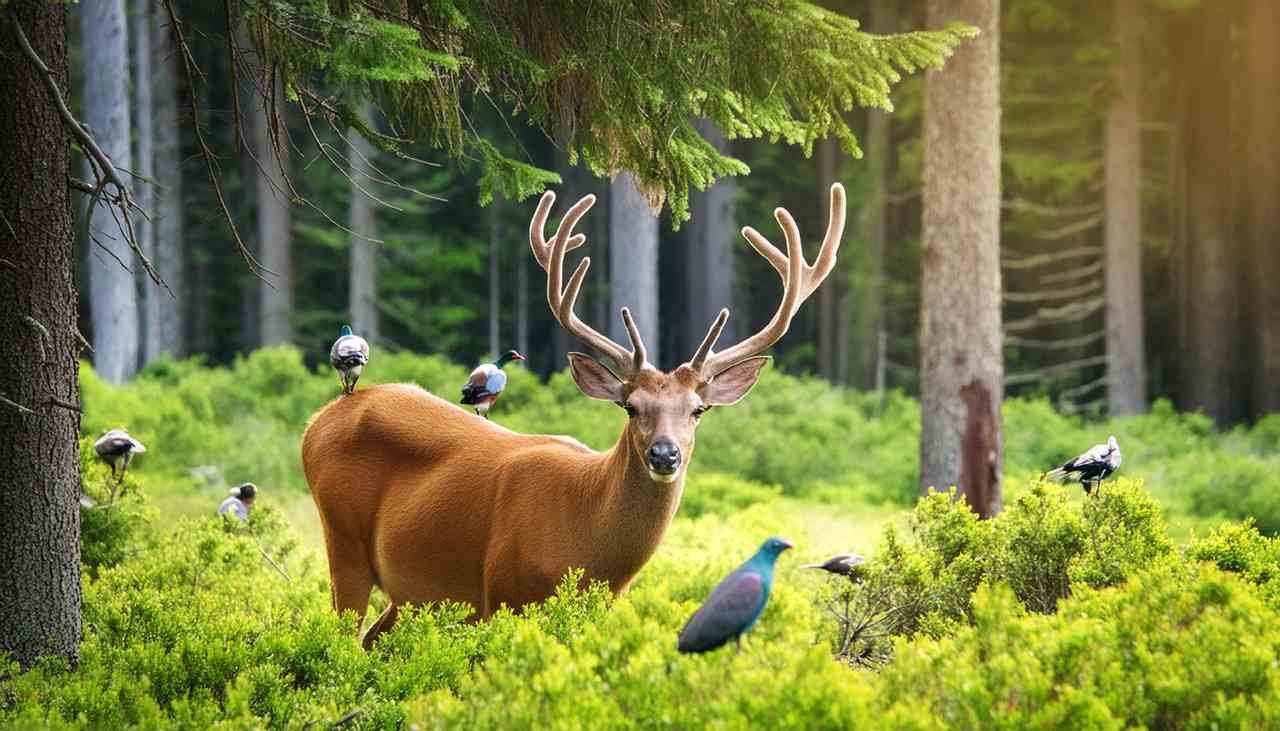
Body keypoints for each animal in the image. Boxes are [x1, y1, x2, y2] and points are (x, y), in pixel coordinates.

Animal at [301, 183, 846, 648]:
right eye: (631, 407)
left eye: (698, 409)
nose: (664, 454)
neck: (586, 546)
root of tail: (318, 421)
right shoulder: (505, 592)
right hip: (342, 538)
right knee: (344, 634)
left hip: (413, 594)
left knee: (374, 640)